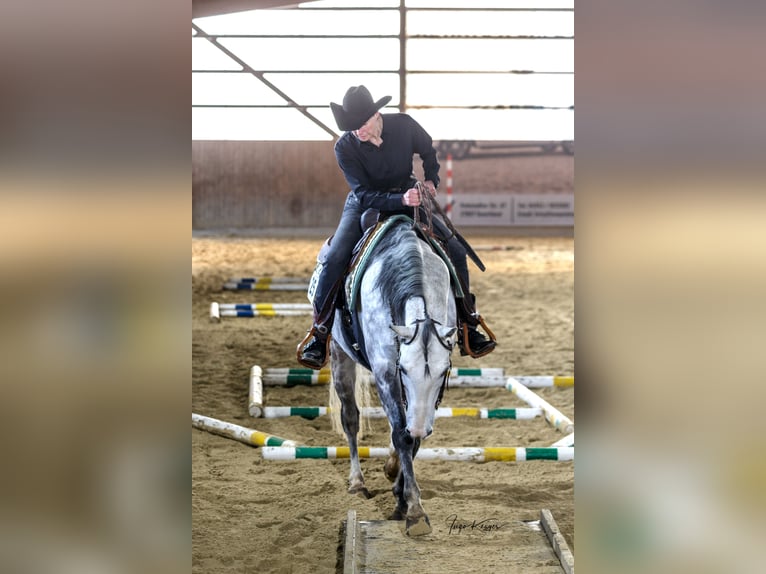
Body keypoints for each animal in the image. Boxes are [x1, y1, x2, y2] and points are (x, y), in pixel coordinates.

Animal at [328, 215, 456, 536]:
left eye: (444, 373)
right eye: (403, 370)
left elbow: (409, 437)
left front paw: (399, 490)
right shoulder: (386, 371)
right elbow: (402, 434)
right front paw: (414, 510)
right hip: (339, 355)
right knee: (351, 418)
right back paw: (357, 482)